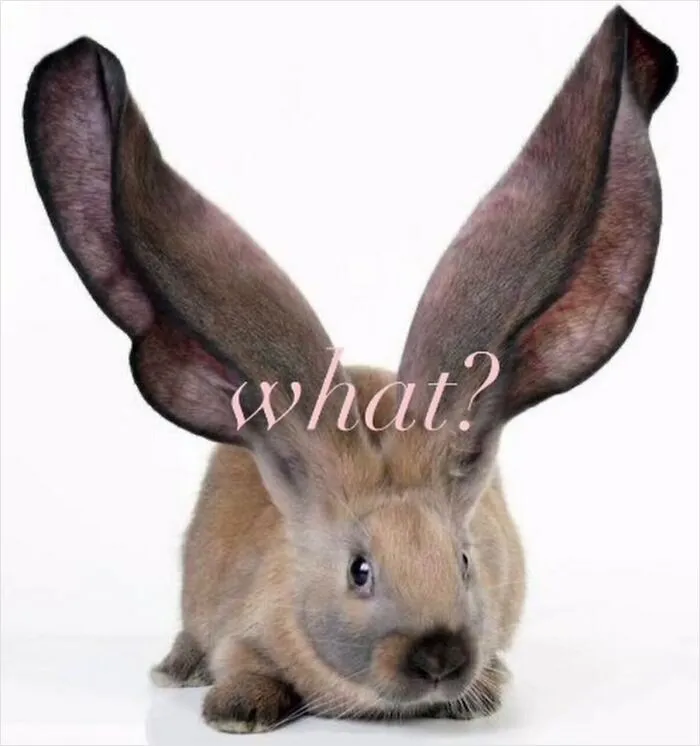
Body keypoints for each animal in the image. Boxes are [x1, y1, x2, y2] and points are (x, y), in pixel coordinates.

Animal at [23, 4, 677, 734]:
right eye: (359, 572)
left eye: (464, 561)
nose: (440, 656)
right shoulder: (241, 626)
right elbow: (242, 662)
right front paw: (237, 711)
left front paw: (482, 694)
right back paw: (177, 668)